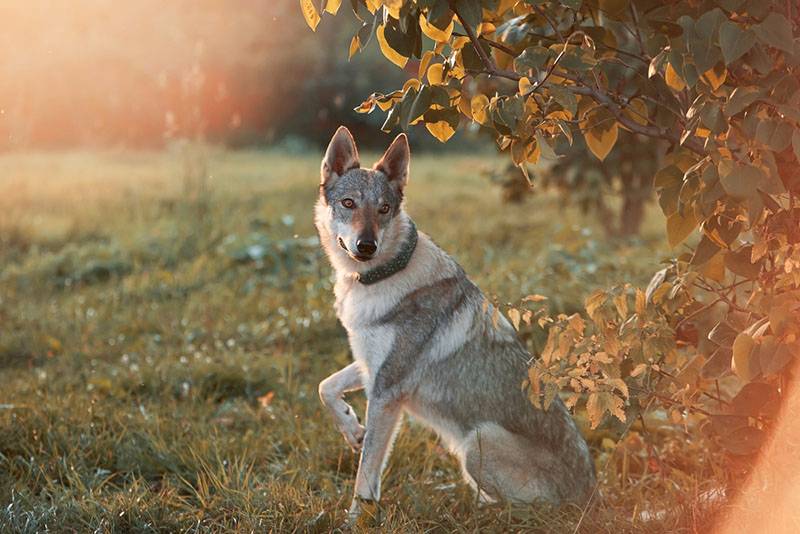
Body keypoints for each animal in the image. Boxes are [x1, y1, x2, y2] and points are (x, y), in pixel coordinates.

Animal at [316, 126, 596, 524]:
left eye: (383, 209)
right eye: (349, 203)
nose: (366, 246)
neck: (380, 277)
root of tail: (592, 496)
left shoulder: (387, 390)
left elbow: (366, 474)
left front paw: (355, 520)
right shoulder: (372, 367)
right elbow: (326, 387)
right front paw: (352, 429)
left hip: (476, 443)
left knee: (527, 511)